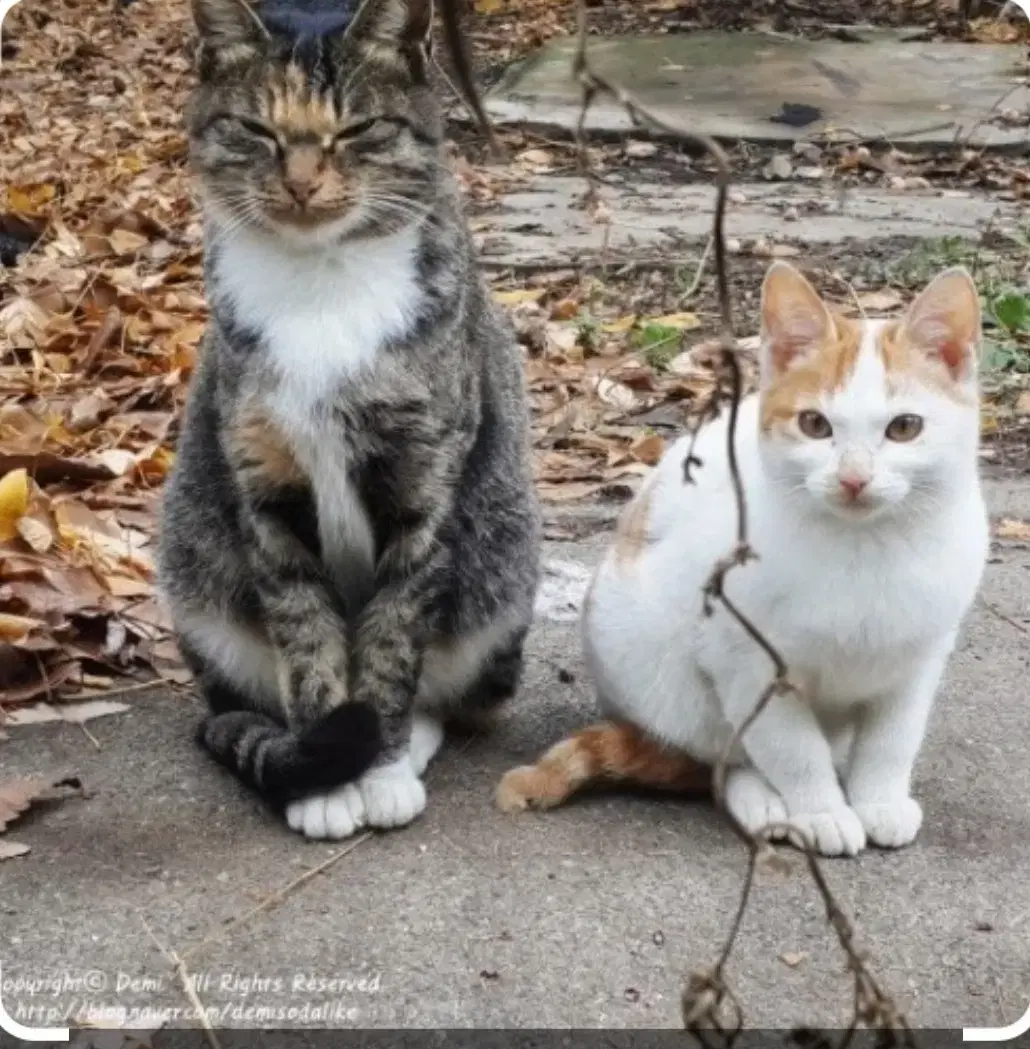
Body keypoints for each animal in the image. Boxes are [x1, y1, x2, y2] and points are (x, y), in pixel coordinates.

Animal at [158, 0, 545, 839]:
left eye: (358, 128)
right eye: (256, 129)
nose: (302, 184)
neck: (320, 287)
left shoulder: (424, 487)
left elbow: (393, 639)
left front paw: (383, 764)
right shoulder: (266, 492)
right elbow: (306, 634)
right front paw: (326, 780)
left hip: (503, 564)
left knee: (455, 693)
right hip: (192, 568)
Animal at [499, 258, 990, 855]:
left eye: (905, 428)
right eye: (814, 425)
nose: (854, 478)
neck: (864, 547)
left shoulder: (919, 658)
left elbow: (893, 739)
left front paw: (878, 799)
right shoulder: (745, 662)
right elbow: (792, 750)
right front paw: (821, 809)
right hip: (662, 669)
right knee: (723, 759)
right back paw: (764, 804)